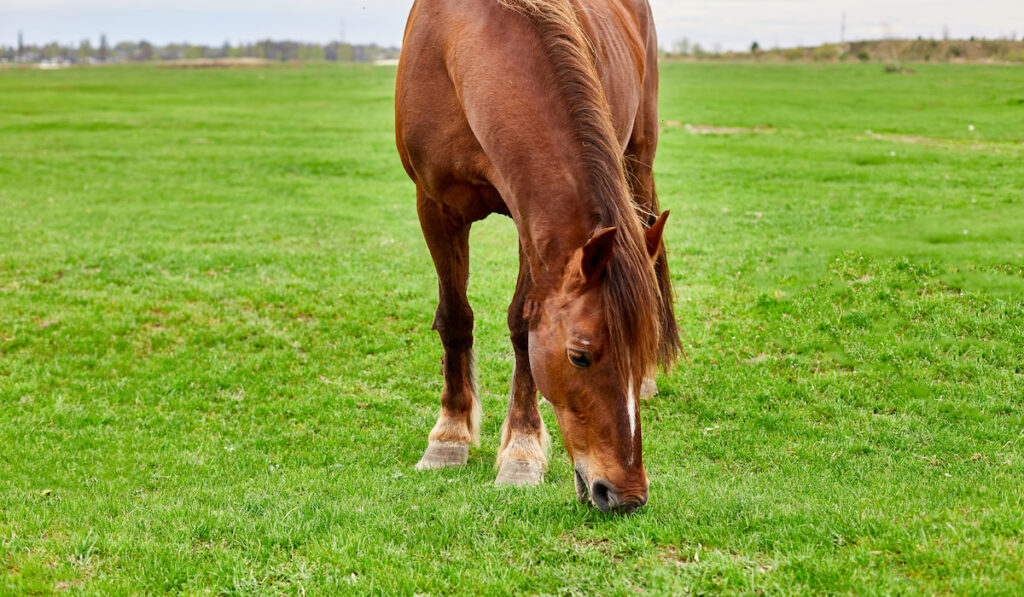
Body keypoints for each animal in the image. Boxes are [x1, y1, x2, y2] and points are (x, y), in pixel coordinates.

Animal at [397, 0, 679, 514]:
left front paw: (521, 452)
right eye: (579, 357)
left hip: (637, 157)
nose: (626, 495)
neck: (461, 43)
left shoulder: (530, 221)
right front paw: (449, 438)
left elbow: (521, 325)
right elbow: (455, 318)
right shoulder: (434, 206)